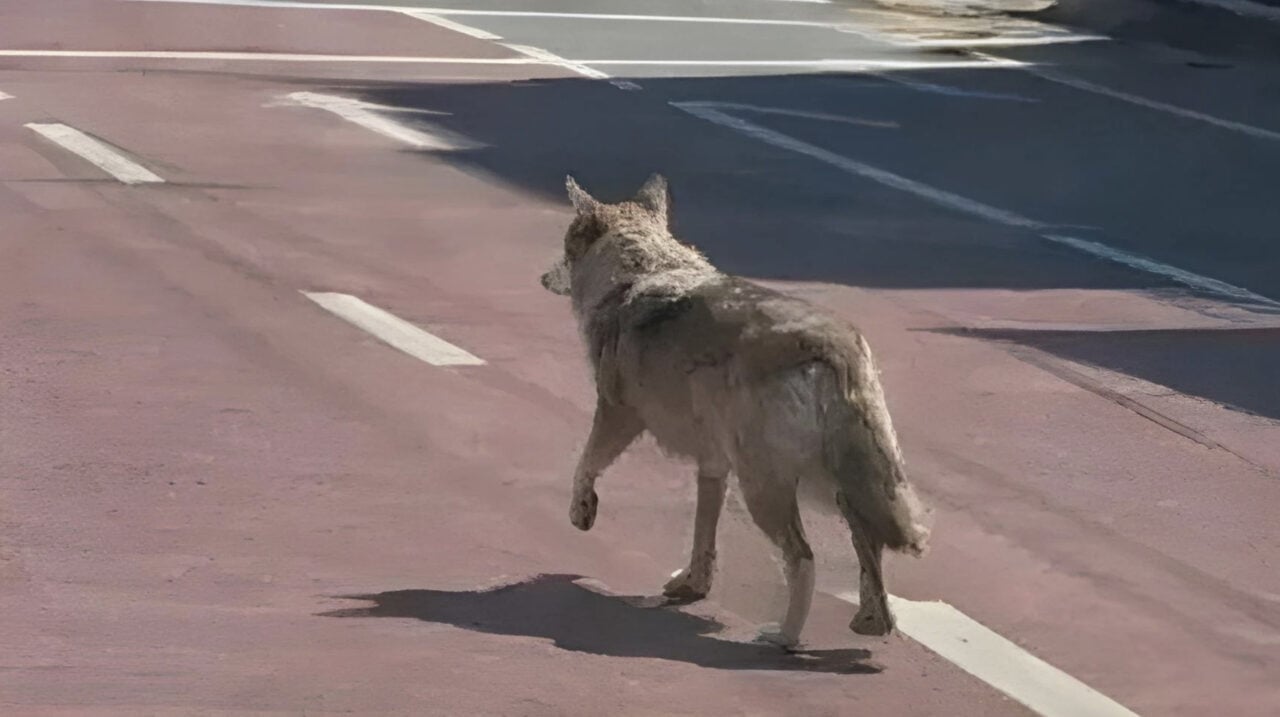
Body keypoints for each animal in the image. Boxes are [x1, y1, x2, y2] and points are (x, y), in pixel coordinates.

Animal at [540, 174, 931, 648]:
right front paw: (692, 585)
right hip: (840, 486)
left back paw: (783, 638)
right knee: (869, 549)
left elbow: (585, 466)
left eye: (564, 250)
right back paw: (870, 623)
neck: (641, 270)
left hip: (767, 488)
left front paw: (582, 512)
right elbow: (702, 535)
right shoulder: (712, 465)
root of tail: (835, 344)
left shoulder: (617, 415)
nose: (542, 277)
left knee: (803, 558)